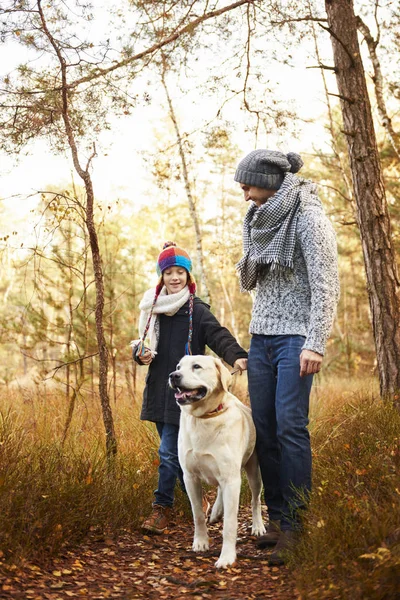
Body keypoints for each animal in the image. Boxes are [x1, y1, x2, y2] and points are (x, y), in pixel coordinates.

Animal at [169, 356, 266, 568]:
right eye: (178, 367)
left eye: (196, 366)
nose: (173, 376)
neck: (205, 417)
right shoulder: (190, 477)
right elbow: (197, 514)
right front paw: (201, 542)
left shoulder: (232, 480)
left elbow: (230, 523)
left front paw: (227, 557)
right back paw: (216, 511)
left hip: (253, 471)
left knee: (255, 500)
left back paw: (258, 526)